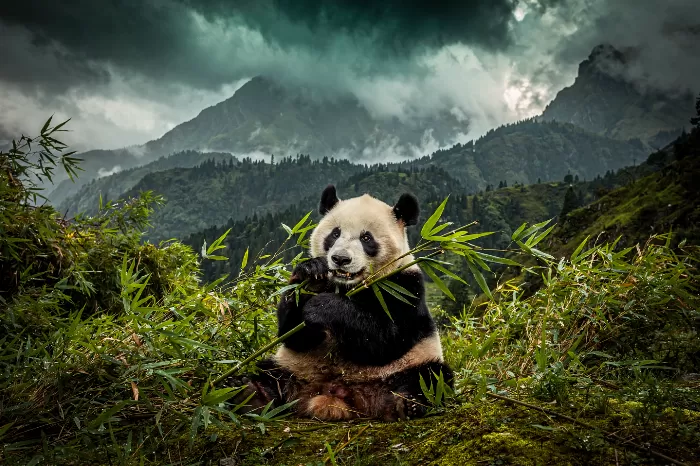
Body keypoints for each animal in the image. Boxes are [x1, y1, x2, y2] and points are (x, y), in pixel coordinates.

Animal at [228, 185, 453, 421]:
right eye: (334, 233)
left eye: (366, 238)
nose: (340, 259)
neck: (347, 286)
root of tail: (342, 395)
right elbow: (293, 334)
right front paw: (312, 275)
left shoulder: (404, 286)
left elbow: (387, 339)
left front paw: (324, 307)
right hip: (293, 366)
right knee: (268, 373)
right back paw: (249, 394)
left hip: (408, 365)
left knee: (431, 377)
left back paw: (409, 404)